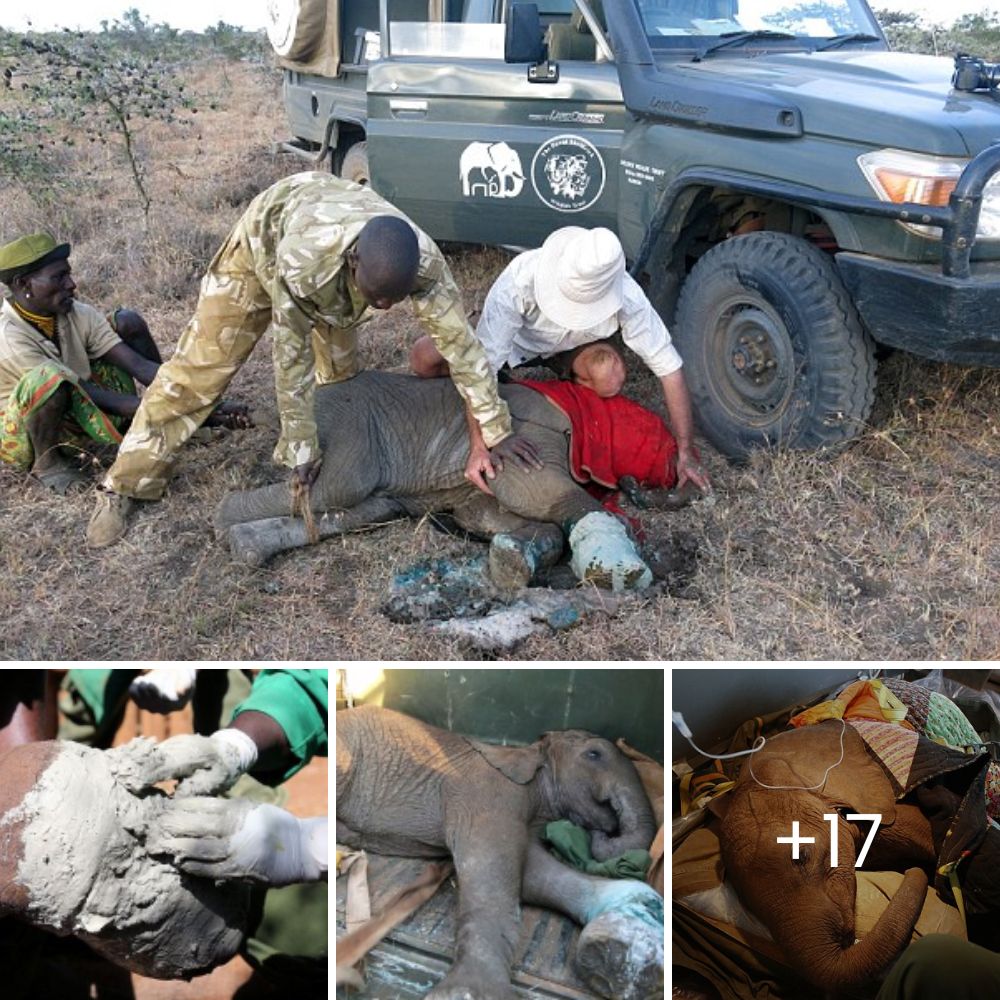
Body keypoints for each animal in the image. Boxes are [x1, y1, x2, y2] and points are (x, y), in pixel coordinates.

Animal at [218, 364, 688, 588]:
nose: (676, 473)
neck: (580, 404)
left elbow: (499, 517)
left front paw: (511, 561)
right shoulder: (531, 433)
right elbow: (537, 493)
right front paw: (622, 573)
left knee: (361, 505)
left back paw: (246, 542)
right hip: (347, 419)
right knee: (337, 488)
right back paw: (224, 524)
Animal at [338, 704, 664, 1000]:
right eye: (593, 755)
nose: (602, 831)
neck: (530, 754)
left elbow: (531, 875)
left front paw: (622, 949)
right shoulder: (488, 794)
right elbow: (491, 869)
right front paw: (468, 992)